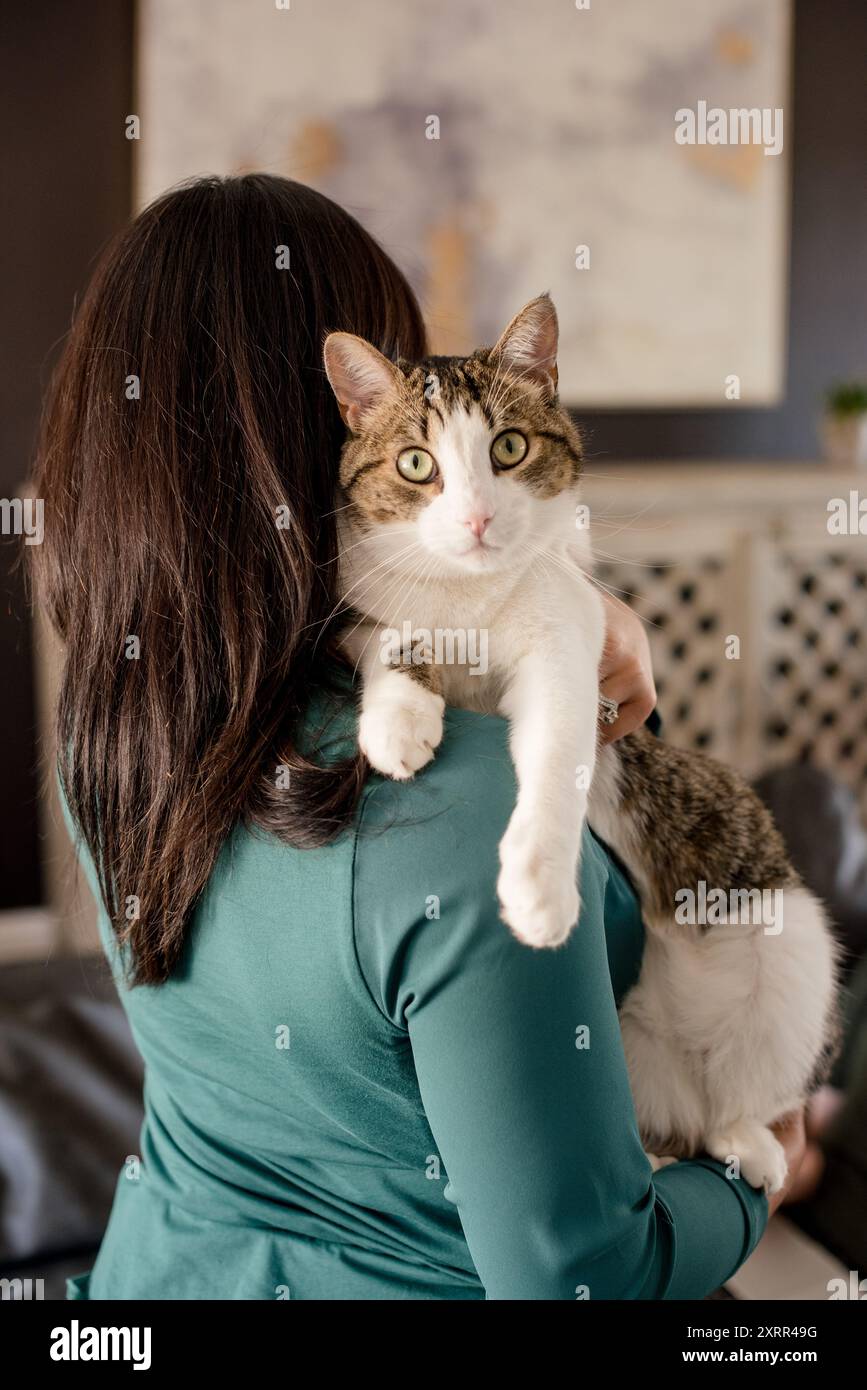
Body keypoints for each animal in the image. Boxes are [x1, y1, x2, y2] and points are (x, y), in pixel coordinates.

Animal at [322, 296, 839, 1195]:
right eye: (417, 464)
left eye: (508, 447)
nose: (477, 519)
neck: (472, 597)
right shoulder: (363, 600)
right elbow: (388, 635)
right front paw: (398, 717)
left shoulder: (569, 639)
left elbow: (557, 743)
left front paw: (537, 884)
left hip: (791, 945)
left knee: (743, 1094)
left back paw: (751, 1142)